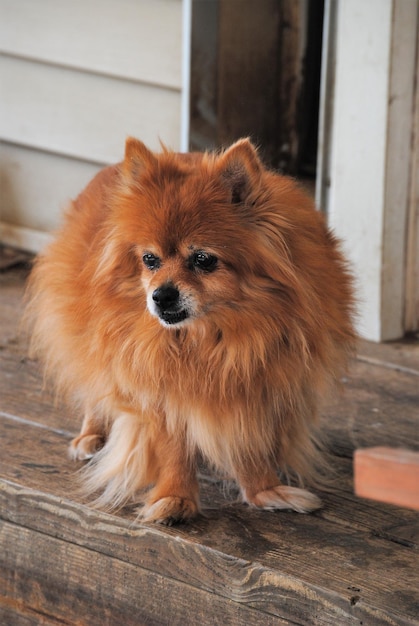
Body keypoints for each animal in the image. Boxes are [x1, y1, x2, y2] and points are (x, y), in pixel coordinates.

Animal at [25, 136, 354, 520]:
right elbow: (173, 447)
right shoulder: (158, 387)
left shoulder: (257, 387)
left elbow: (248, 442)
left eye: (203, 259)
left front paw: (264, 490)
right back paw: (91, 434)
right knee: (95, 382)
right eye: (149, 259)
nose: (160, 295)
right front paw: (175, 497)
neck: (211, 338)